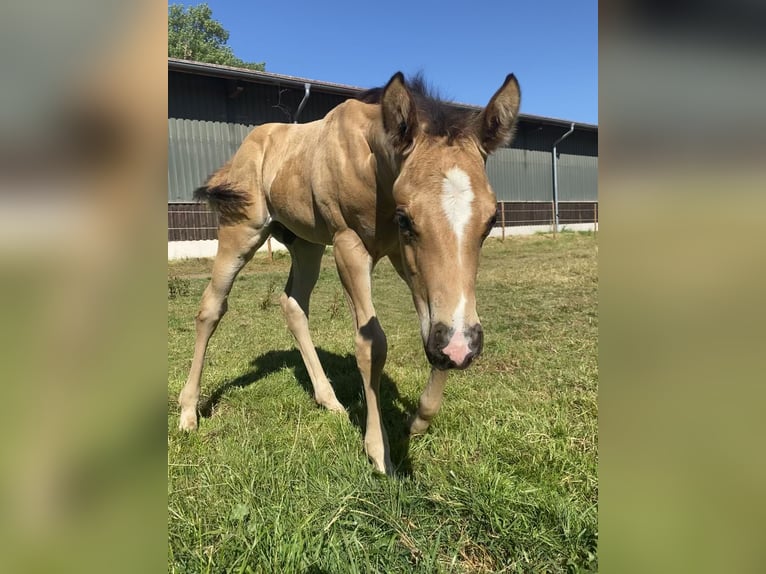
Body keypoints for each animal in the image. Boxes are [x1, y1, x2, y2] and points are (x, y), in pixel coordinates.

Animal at [178, 72, 520, 476]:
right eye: (407, 219)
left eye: (491, 221)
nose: (462, 348)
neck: (375, 169)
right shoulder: (349, 246)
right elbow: (372, 344)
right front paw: (379, 451)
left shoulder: (404, 259)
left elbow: (434, 326)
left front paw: (419, 418)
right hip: (242, 231)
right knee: (211, 307)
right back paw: (188, 413)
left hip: (306, 245)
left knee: (293, 305)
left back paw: (329, 400)